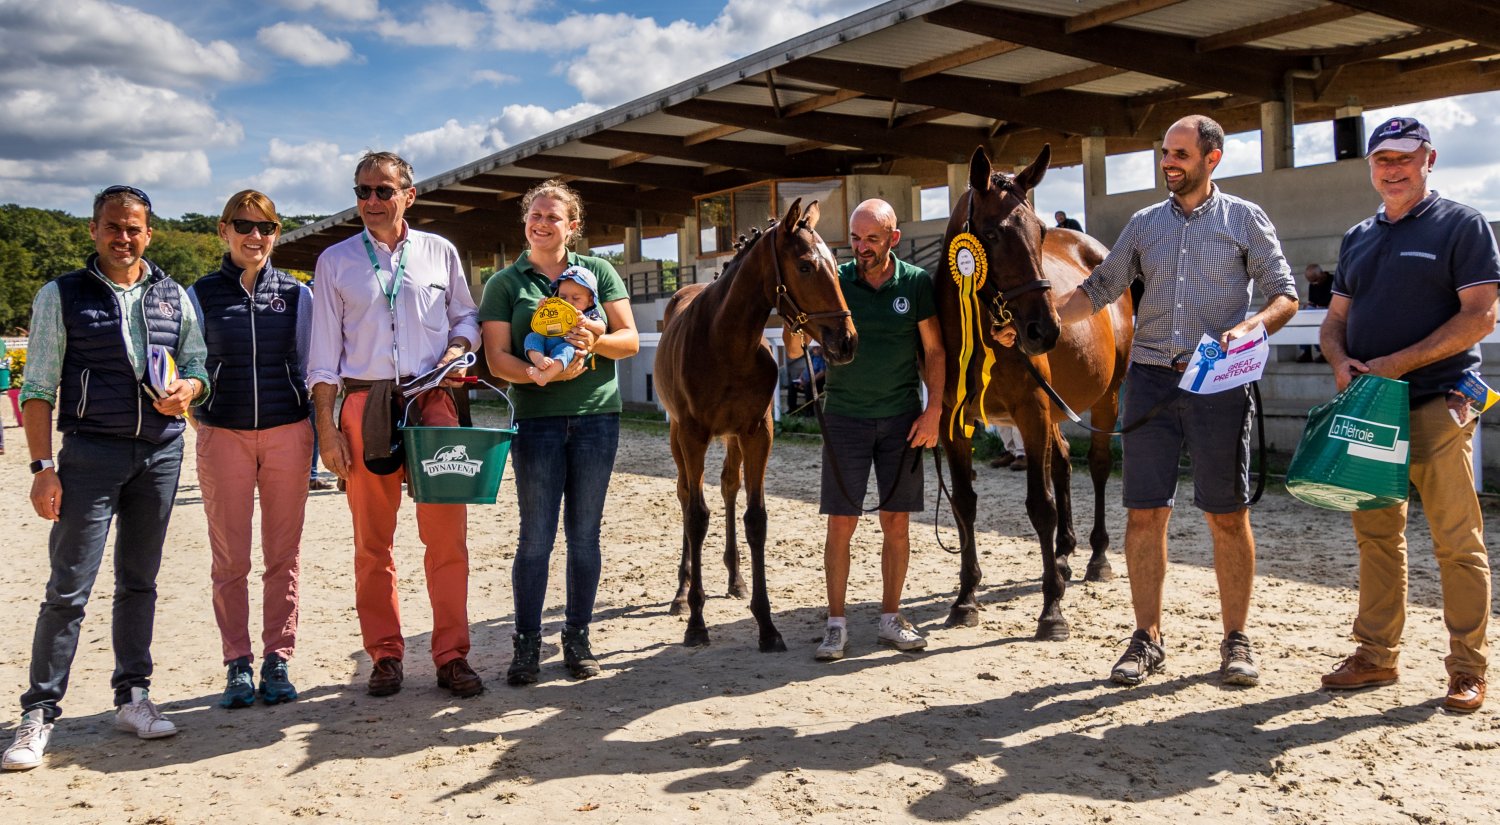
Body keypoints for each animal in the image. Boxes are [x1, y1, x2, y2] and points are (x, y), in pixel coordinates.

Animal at [654, 198, 857, 651]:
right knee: (685, 495)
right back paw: (681, 592)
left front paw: (766, 624)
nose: (846, 341)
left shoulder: (757, 433)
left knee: (729, 486)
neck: (725, 342)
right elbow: (697, 516)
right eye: (804, 265)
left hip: (731, 438)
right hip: (677, 435)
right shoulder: (693, 434)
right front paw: (697, 622)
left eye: (836, 263)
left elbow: (755, 518)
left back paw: (735, 579)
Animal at [937, 145, 1133, 641]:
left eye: (1039, 232)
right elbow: (964, 502)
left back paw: (1096, 557)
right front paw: (965, 598)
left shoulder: (1031, 411)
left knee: (1097, 466)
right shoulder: (954, 421)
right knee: (1062, 461)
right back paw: (1062, 556)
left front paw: (1052, 611)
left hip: (1106, 397)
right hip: (1057, 407)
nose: (1044, 330)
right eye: (991, 233)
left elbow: (1040, 506)